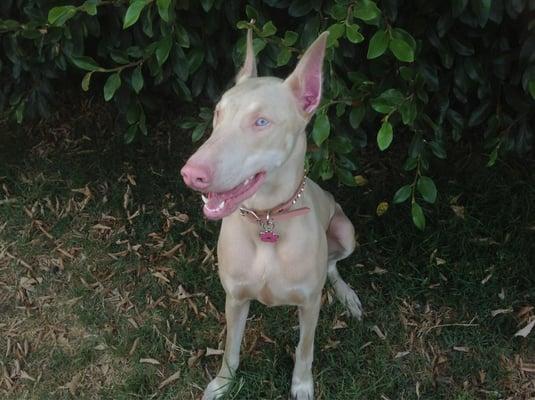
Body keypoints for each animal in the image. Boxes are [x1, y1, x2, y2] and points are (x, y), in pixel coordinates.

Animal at [181, 29, 364, 398]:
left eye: (261, 122)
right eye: (218, 113)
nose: (191, 174)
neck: (267, 219)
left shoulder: (309, 304)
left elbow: (305, 350)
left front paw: (302, 385)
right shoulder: (234, 298)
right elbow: (231, 347)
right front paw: (223, 383)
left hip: (345, 230)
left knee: (332, 265)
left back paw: (347, 296)